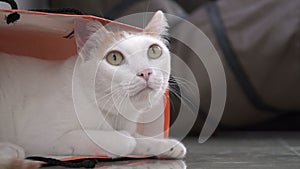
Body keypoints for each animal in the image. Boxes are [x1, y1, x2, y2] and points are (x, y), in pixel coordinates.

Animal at [0, 10, 186, 168]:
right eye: (114, 58)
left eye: (154, 51)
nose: (145, 72)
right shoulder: (41, 137)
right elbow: (126, 141)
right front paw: (125, 140)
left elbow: (137, 138)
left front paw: (164, 144)